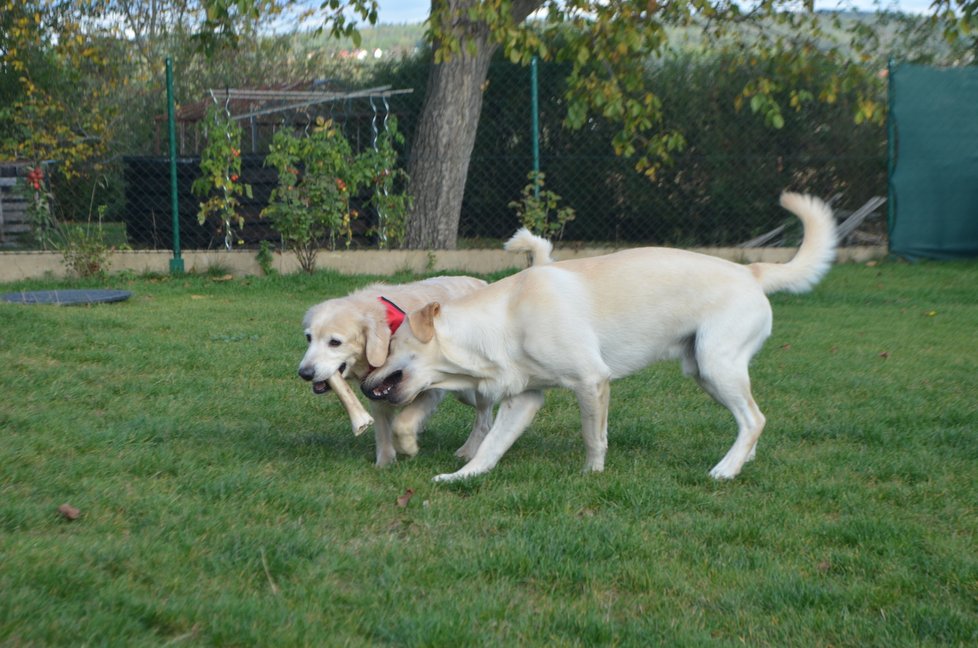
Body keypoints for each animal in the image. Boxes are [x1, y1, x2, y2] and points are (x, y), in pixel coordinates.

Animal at [298, 233, 552, 466]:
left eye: (335, 342)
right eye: (309, 338)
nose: (304, 373)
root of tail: (485, 284)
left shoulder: (429, 387)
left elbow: (402, 423)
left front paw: (409, 447)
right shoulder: (376, 392)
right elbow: (383, 431)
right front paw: (385, 464)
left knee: (483, 418)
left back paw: (468, 451)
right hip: (463, 391)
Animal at [362, 195, 836, 484]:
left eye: (391, 346)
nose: (365, 385)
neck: (502, 322)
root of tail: (750, 271)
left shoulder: (591, 382)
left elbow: (594, 437)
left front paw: (592, 475)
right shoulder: (524, 399)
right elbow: (490, 448)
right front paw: (460, 478)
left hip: (717, 366)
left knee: (755, 419)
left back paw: (724, 470)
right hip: (705, 372)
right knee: (749, 421)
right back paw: (742, 460)